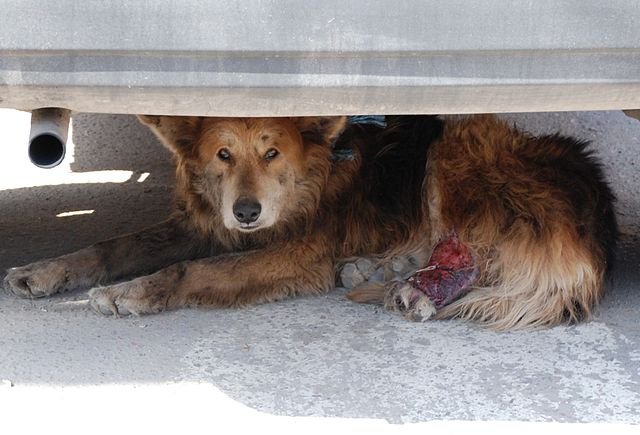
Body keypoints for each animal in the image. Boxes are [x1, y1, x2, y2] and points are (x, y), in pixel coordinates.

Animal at [2, 116, 616, 330]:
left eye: (272, 152)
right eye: (223, 154)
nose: (246, 212)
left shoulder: (298, 252)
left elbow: (194, 273)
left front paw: (132, 291)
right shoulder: (204, 226)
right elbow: (110, 245)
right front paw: (44, 270)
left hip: (456, 152)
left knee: (476, 252)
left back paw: (413, 290)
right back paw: (386, 272)